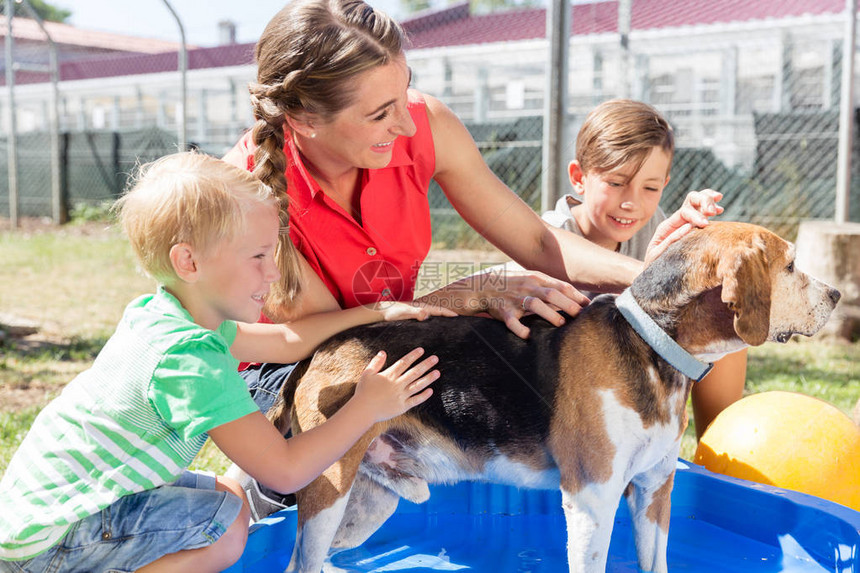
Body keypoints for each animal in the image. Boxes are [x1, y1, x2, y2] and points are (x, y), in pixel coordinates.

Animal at [270, 222, 840, 572]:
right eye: (790, 266)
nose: (836, 295)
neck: (650, 346)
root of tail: (318, 353)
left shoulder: (654, 492)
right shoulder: (592, 498)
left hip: (369, 503)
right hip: (329, 488)